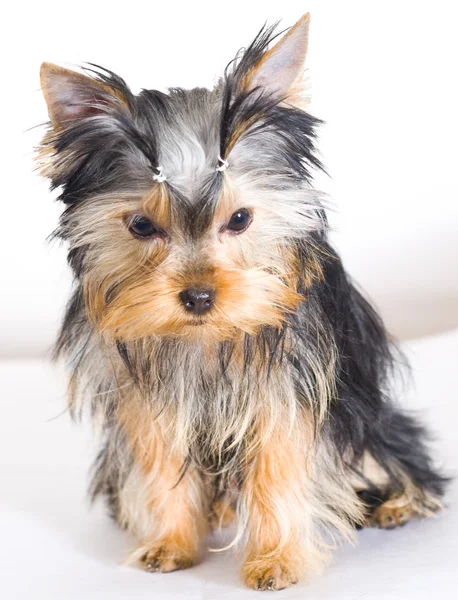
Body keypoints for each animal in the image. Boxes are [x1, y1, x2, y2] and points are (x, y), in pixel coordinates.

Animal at [37, 12, 446, 592]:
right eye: (140, 225)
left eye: (240, 218)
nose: (198, 296)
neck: (207, 338)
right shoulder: (147, 394)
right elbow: (159, 461)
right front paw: (171, 543)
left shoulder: (289, 387)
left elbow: (280, 462)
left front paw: (275, 561)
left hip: (369, 414)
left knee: (394, 454)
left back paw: (399, 502)